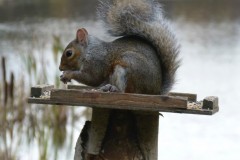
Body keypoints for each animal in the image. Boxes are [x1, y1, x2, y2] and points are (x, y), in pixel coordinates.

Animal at [59, 0, 180, 159]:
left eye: (69, 53)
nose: (60, 68)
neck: (89, 51)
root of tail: (154, 91)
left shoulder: (96, 63)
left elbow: (91, 78)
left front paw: (67, 74)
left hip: (126, 69)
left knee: (124, 91)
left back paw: (112, 89)